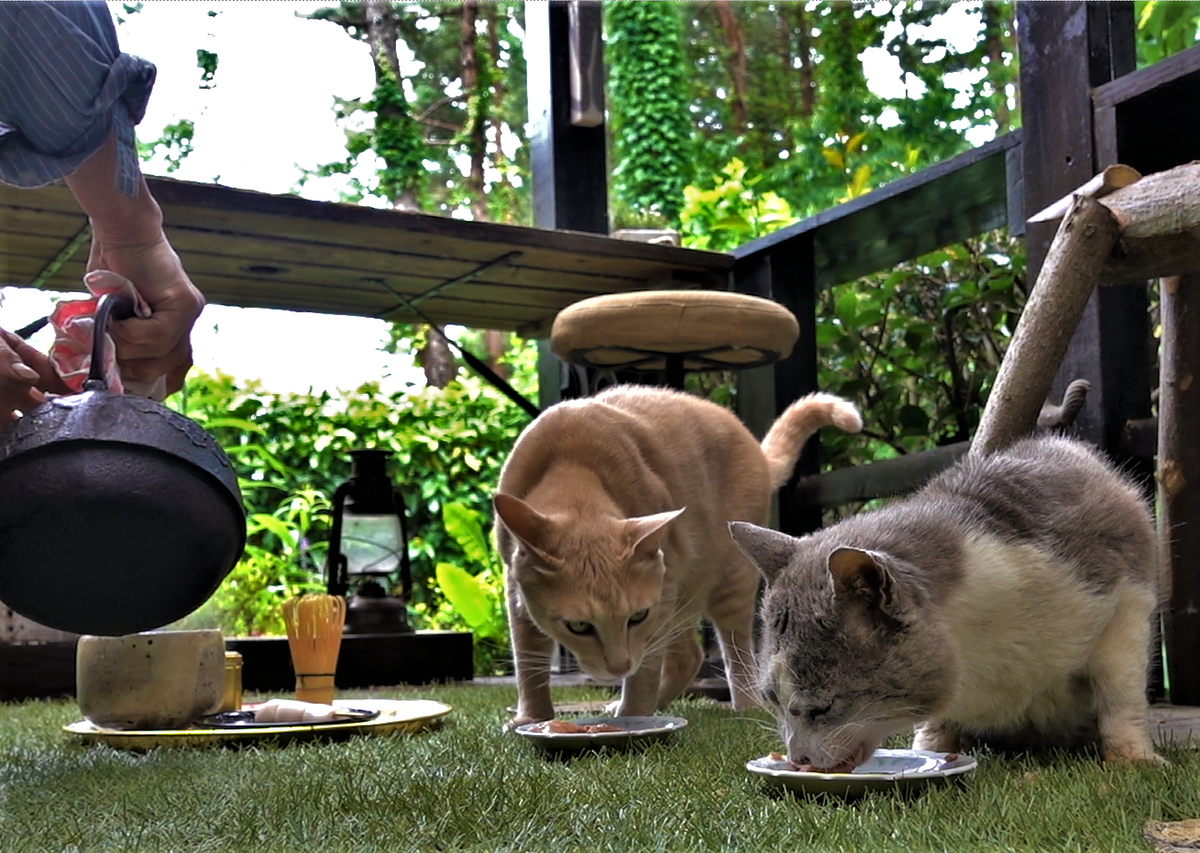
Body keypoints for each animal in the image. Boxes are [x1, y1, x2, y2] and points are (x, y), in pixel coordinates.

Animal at [492, 386, 859, 729]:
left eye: (636, 616)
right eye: (578, 626)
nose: (619, 667)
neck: (573, 465)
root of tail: (755, 447)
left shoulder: (659, 598)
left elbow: (645, 671)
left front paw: (633, 717)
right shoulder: (515, 588)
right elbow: (527, 659)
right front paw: (531, 718)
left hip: (727, 584)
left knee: (735, 654)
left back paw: (744, 706)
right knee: (689, 656)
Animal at [729, 436, 1161, 772]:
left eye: (822, 707)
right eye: (772, 700)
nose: (797, 758)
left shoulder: (1126, 602)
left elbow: (1120, 693)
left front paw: (1133, 758)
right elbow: (936, 726)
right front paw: (932, 751)